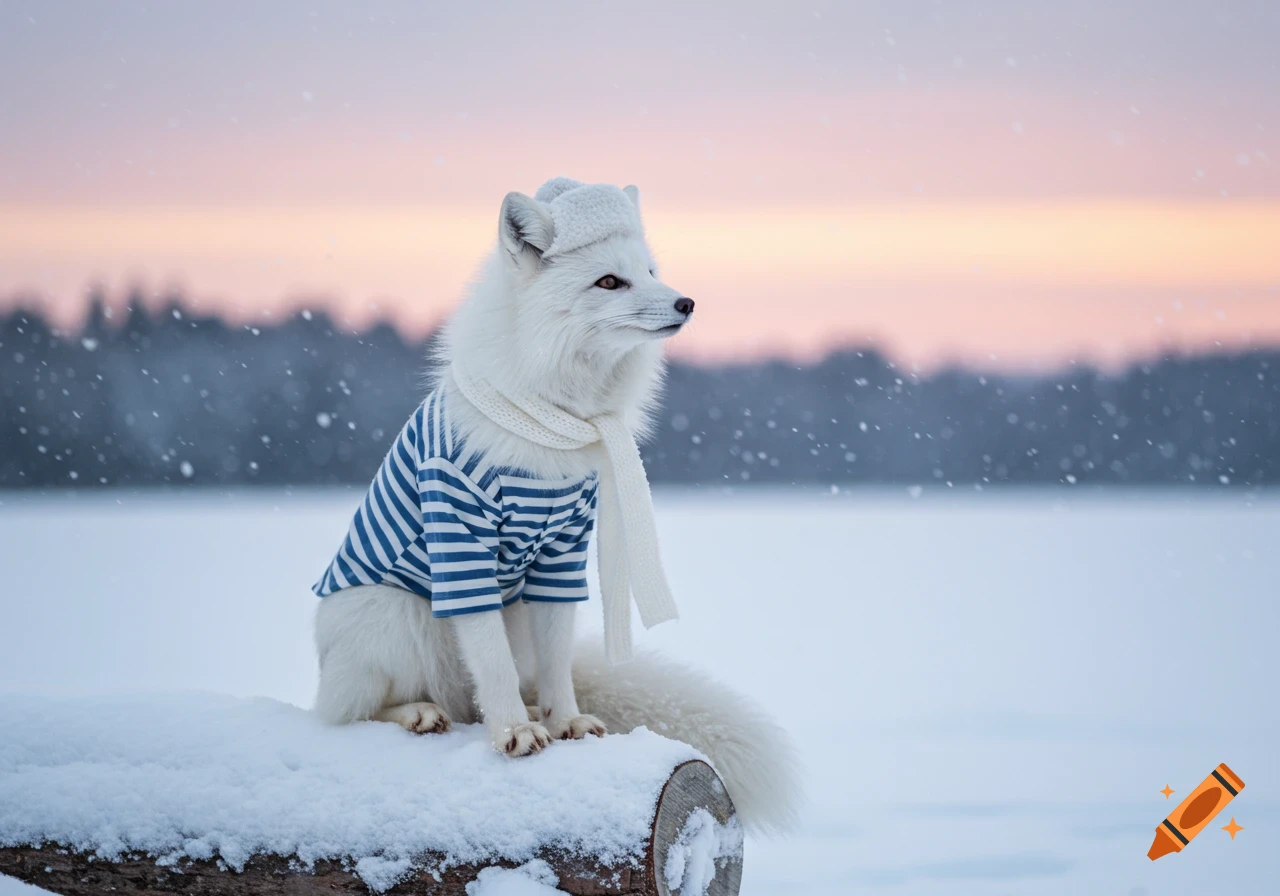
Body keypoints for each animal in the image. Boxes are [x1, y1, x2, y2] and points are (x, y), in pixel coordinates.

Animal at [312, 178, 799, 834]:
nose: (687, 302)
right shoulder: (462, 546)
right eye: (609, 281)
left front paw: (563, 720)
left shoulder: (561, 554)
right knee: (343, 714)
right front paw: (514, 732)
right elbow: (489, 662)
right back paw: (421, 714)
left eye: (649, 271)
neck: (553, 418)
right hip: (397, 614)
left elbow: (558, 661)